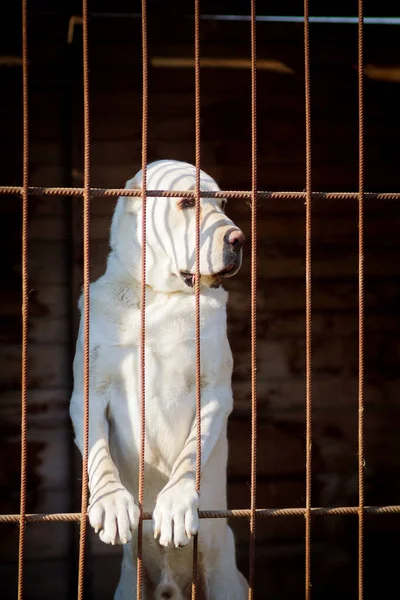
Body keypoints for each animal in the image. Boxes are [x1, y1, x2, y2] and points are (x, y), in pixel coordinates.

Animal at [70, 159, 248, 600]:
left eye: (221, 202)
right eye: (186, 202)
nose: (238, 239)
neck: (158, 296)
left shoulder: (213, 392)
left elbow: (191, 454)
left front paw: (176, 503)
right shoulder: (88, 394)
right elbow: (99, 455)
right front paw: (112, 502)